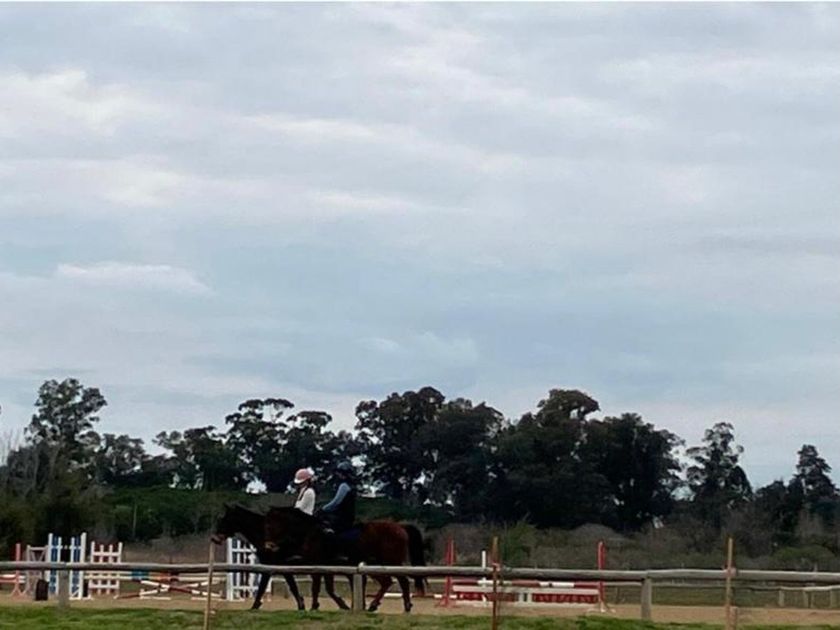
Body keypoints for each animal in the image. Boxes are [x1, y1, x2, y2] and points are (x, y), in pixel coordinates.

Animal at [210, 504, 350, 611]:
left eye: (225, 519)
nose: (215, 539)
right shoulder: (277, 567)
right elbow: (287, 586)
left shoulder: (274, 567)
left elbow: (267, 587)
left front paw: (255, 606)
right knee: (325, 585)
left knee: (320, 584)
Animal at [262, 506, 427, 612]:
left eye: (271, 525)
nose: (269, 545)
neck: (310, 532)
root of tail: (400, 526)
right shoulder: (325, 567)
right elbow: (328, 588)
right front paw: (339, 605)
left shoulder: (318, 565)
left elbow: (317, 587)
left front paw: (316, 606)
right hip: (378, 564)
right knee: (388, 582)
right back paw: (376, 605)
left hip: (390, 562)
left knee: (402, 581)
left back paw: (403, 606)